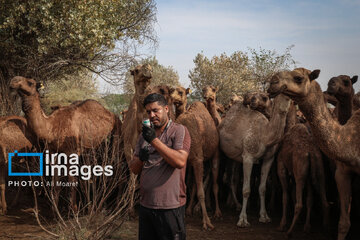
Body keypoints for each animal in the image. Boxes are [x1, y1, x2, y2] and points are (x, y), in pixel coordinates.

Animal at [8, 76, 121, 211]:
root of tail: (111, 113)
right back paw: (90, 203)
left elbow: (72, 181)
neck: (52, 126)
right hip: (91, 149)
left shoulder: (71, 152)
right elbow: (56, 181)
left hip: (116, 133)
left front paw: (74, 209)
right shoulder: (53, 152)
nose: (13, 81)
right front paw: (54, 209)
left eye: (30, 82)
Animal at [169, 86, 222, 229]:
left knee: (214, 183)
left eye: (180, 92)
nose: (171, 98)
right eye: (170, 90)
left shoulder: (197, 159)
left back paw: (217, 213)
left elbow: (200, 191)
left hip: (215, 154)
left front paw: (206, 222)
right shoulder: (185, 162)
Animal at [218, 92, 292, 227]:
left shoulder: (269, 158)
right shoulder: (248, 156)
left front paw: (264, 216)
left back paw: (237, 205)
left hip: (234, 158)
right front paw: (242, 220)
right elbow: (246, 190)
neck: (265, 135)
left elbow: (262, 188)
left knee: (231, 179)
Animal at [276, 101, 330, 236]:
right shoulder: (308, 176)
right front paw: (306, 226)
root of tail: (310, 154)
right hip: (319, 171)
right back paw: (324, 227)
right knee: (324, 201)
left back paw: (289, 232)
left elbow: (285, 196)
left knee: (299, 204)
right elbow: (309, 199)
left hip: (300, 174)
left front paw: (282, 224)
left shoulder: (281, 166)